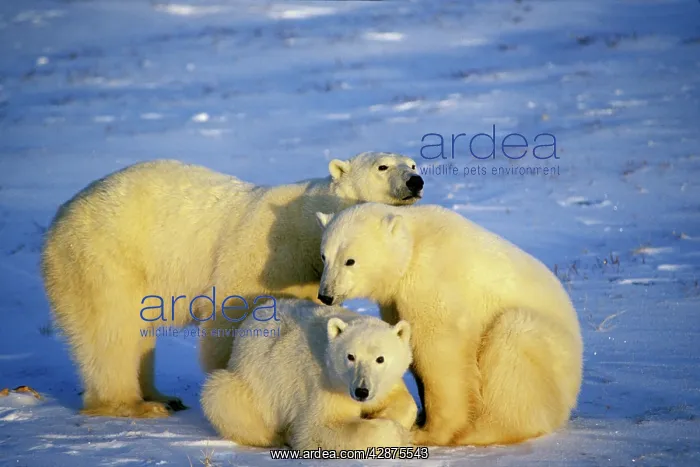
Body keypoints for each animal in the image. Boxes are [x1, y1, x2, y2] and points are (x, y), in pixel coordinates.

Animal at [41, 152, 423, 418]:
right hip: (104, 258)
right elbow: (232, 314)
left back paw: (162, 396)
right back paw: (134, 405)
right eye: (383, 166)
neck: (306, 223)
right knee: (111, 331)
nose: (416, 181)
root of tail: (59, 217)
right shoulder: (265, 255)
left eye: (413, 162)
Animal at [200, 299, 417, 451]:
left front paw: (382, 415)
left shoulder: (384, 383)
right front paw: (398, 434)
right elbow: (317, 429)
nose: (361, 391)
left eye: (380, 359)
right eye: (350, 356)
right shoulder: (324, 384)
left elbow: (405, 402)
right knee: (223, 397)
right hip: (251, 384)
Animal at [315, 203, 584, 447]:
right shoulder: (395, 300)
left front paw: (427, 433)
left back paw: (479, 432)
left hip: (547, 351)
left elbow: (440, 354)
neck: (413, 246)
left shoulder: (432, 280)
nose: (325, 295)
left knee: (513, 347)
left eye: (350, 260)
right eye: (324, 256)